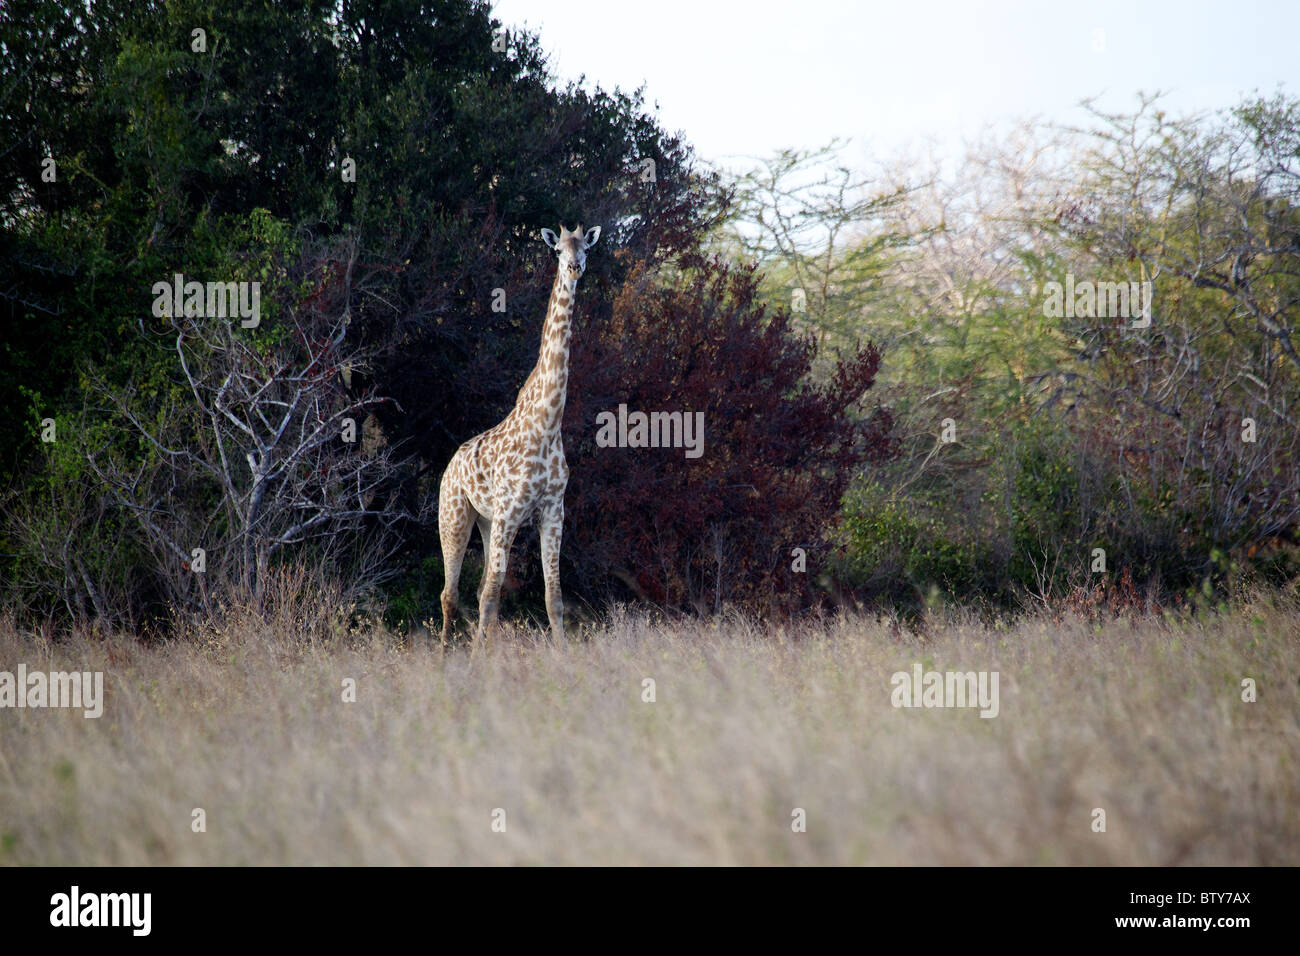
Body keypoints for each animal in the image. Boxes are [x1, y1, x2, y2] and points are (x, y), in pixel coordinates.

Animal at [436, 221, 598, 647]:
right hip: (454, 515)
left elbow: (553, 598)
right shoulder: (510, 512)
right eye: (557, 249)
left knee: (474, 590)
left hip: (485, 521)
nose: (575, 268)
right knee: (451, 593)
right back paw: (444, 654)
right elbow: (492, 596)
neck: (547, 424)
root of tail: (450, 464)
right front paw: (479, 660)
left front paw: (563, 656)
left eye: (586, 248)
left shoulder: (553, 510)